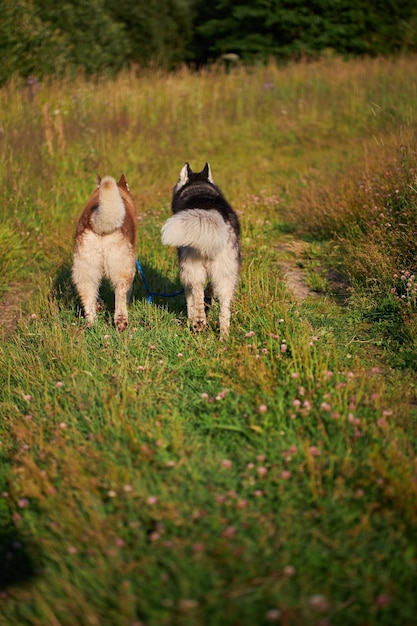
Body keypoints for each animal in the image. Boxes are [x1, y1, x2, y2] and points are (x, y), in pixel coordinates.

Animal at [71, 174, 136, 332]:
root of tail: (97, 223)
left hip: (85, 270)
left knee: (88, 297)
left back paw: (92, 323)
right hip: (122, 268)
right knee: (120, 293)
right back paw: (121, 322)